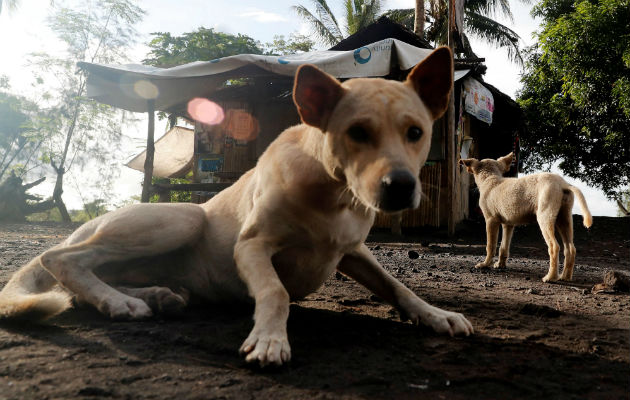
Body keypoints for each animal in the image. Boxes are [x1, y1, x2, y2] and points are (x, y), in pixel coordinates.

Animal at [0, 47, 474, 366]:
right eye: (358, 132)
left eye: (415, 133)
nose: (400, 188)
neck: (332, 192)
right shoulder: (251, 247)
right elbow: (276, 292)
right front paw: (270, 339)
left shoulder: (354, 251)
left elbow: (398, 286)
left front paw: (435, 315)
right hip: (182, 218)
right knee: (62, 258)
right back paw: (120, 303)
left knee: (84, 283)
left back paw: (151, 295)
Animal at [462, 152, 596, 282]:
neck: (490, 178)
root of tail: (563, 183)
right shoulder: (508, 224)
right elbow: (504, 246)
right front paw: (500, 265)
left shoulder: (491, 220)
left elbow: (490, 245)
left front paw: (485, 265)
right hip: (564, 219)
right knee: (570, 249)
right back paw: (565, 277)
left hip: (545, 217)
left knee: (554, 247)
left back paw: (550, 277)